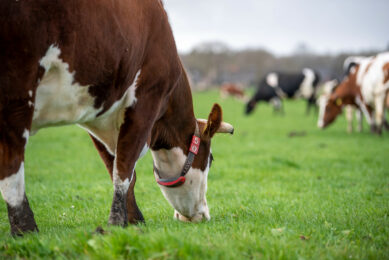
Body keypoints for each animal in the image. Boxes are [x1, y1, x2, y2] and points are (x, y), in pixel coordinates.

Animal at [0, 0, 233, 236]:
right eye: (211, 159)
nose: (202, 215)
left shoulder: (99, 114)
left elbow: (115, 167)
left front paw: (132, 219)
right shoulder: (146, 100)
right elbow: (124, 168)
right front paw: (117, 222)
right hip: (17, 92)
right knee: (12, 169)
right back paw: (25, 230)